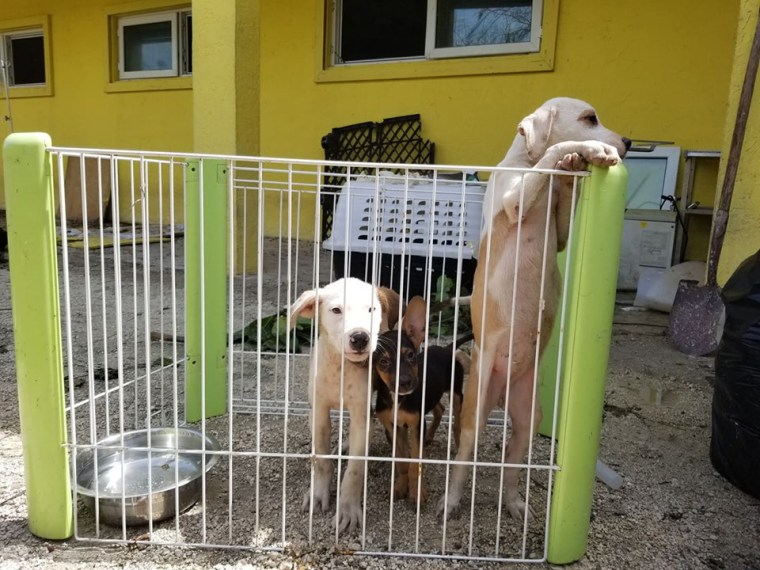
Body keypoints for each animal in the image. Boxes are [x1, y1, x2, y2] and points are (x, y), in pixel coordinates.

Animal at [374, 298, 470, 502]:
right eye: (383, 362)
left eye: (410, 355)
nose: (405, 382)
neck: (398, 399)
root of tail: (447, 348)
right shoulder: (393, 427)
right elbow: (401, 461)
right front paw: (400, 487)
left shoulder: (416, 425)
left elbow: (414, 462)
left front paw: (417, 492)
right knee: (440, 409)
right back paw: (429, 437)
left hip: (456, 393)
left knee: (457, 424)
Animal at [436, 96, 632, 520]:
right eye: (590, 119)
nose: (628, 141)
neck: (524, 163)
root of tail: (502, 392)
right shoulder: (515, 201)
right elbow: (553, 154)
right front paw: (587, 150)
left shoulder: (558, 234)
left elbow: (561, 198)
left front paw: (573, 168)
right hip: (474, 413)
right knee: (463, 458)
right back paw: (452, 501)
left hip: (528, 419)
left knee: (511, 465)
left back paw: (513, 503)